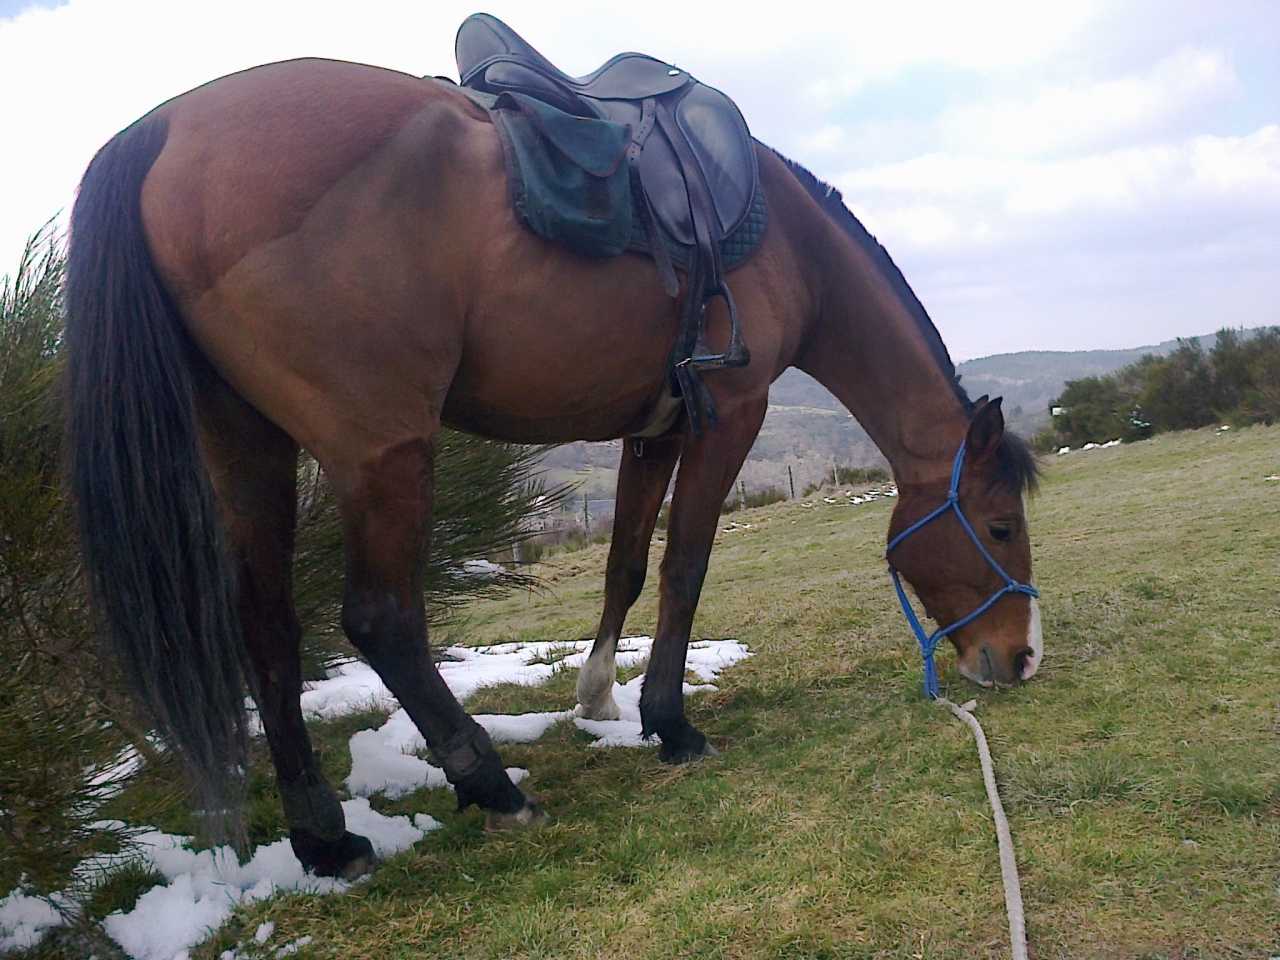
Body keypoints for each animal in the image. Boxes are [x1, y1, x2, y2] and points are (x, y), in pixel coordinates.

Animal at [64, 57, 1040, 880]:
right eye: (999, 526)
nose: (1021, 657)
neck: (789, 240)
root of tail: (159, 131)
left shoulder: (655, 428)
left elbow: (627, 565)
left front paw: (600, 700)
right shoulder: (733, 416)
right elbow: (686, 566)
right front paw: (671, 725)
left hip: (247, 448)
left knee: (267, 629)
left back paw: (325, 840)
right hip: (381, 450)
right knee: (382, 621)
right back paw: (492, 787)